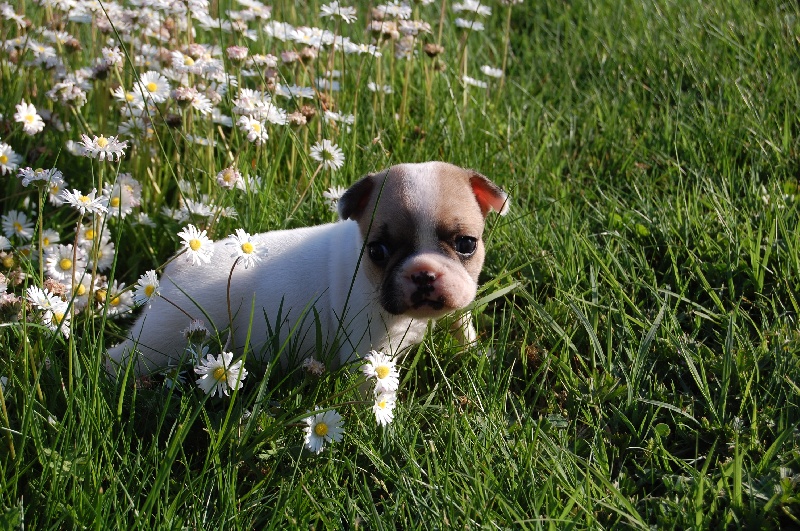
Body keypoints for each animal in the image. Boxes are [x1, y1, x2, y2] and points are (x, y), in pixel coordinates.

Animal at [107, 161, 509, 376]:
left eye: (466, 244)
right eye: (378, 251)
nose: (424, 273)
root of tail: (176, 269)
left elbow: (462, 324)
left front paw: (475, 353)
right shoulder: (367, 349)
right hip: (159, 341)